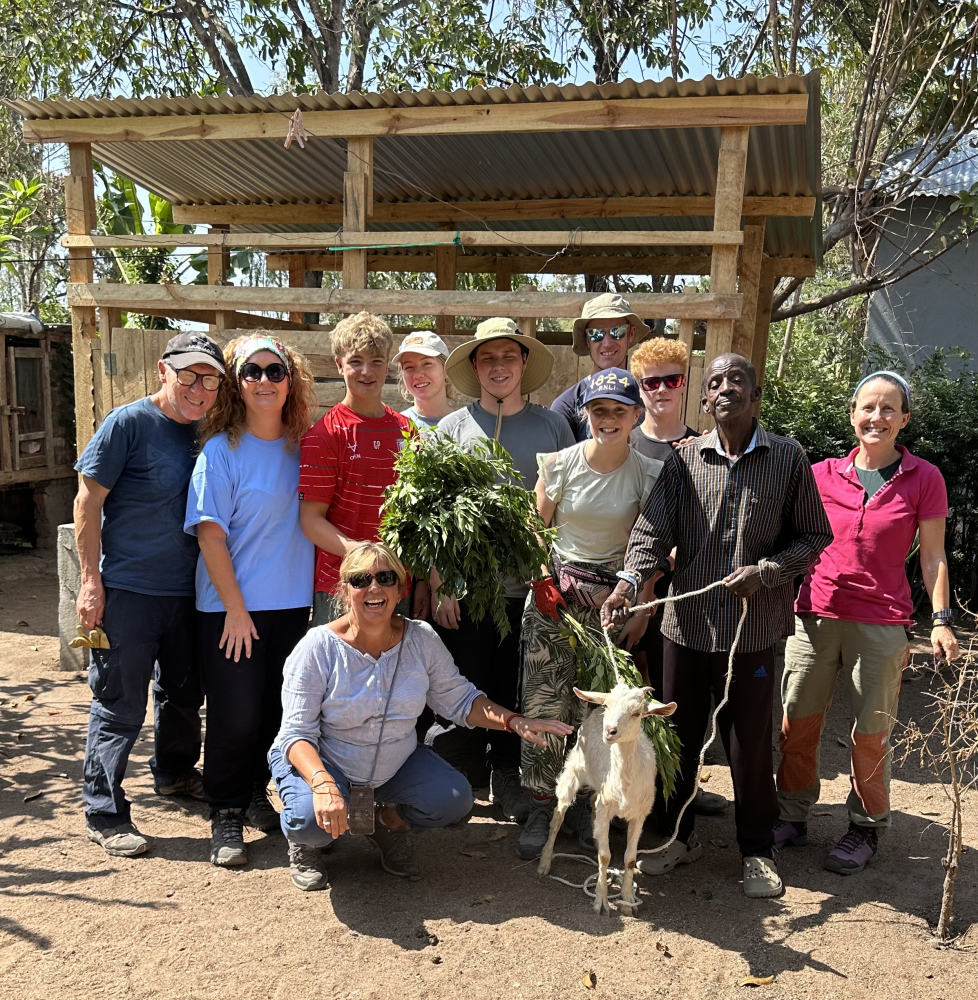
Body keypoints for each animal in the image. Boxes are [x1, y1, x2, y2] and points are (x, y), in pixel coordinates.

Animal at [532, 688, 680, 916]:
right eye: (609, 705)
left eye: (637, 713)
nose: (610, 731)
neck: (625, 784)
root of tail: (594, 710)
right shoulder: (605, 810)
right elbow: (605, 857)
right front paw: (601, 901)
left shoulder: (639, 815)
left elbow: (630, 859)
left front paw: (628, 900)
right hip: (573, 771)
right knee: (557, 819)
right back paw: (545, 861)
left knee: (592, 801)